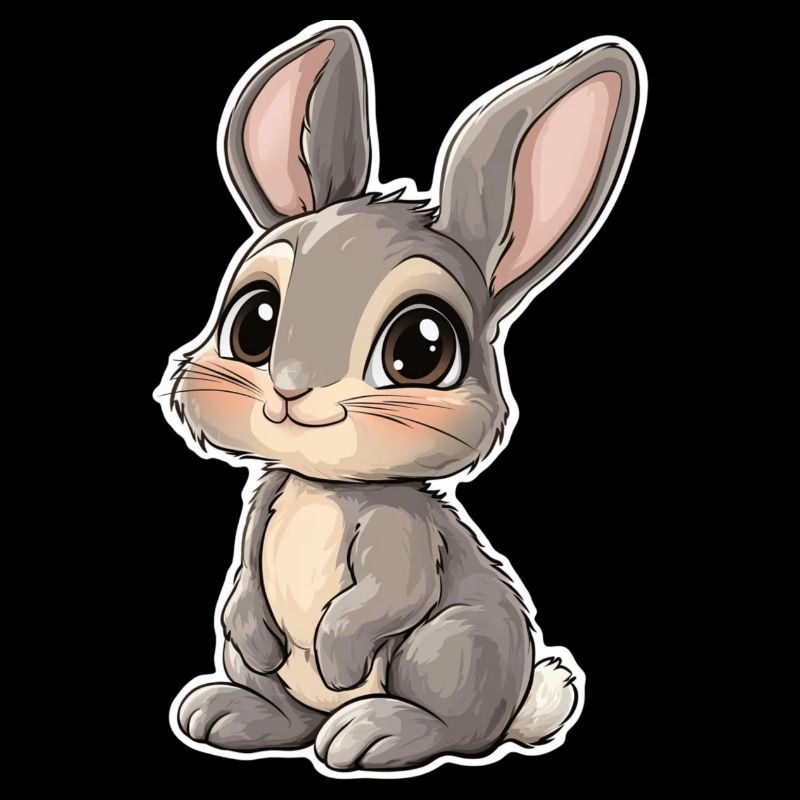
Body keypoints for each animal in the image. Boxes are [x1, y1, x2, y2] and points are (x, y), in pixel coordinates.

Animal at [155, 20, 646, 775]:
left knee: (453, 727)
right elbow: (241, 590)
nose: (291, 389)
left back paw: (372, 731)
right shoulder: (264, 506)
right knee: (289, 714)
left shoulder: (402, 540)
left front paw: (337, 660)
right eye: (253, 322)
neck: (326, 486)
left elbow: (386, 597)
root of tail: (517, 706)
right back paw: (230, 712)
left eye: (421, 348)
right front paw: (257, 642)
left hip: (449, 645)